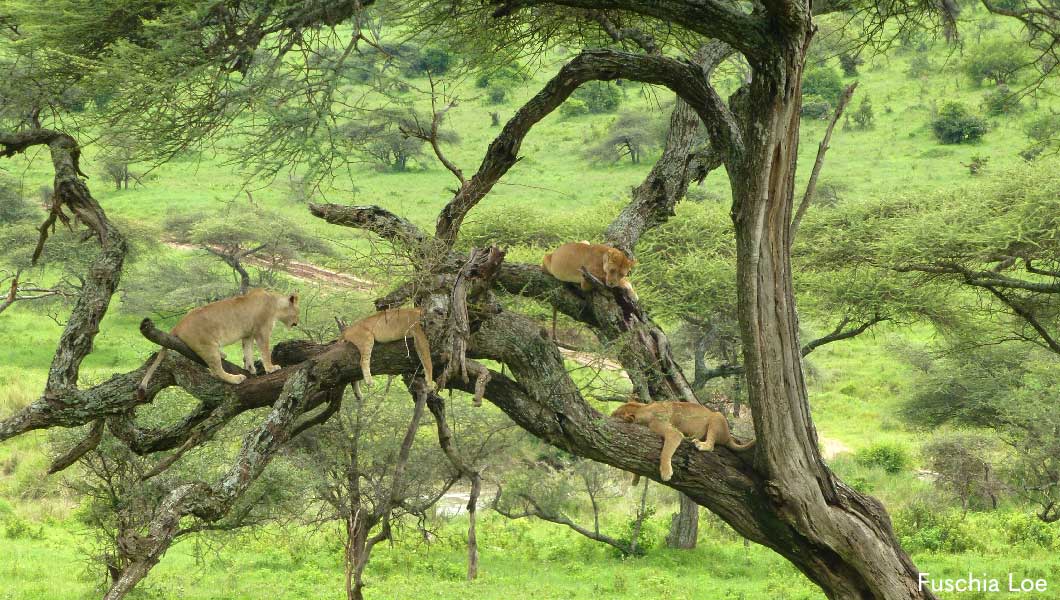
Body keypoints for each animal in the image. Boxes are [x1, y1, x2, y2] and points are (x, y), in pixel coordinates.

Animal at [137, 288, 298, 392]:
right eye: (298, 311)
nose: (297, 323)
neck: (275, 303)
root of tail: (178, 324)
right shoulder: (262, 331)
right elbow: (264, 351)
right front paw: (271, 368)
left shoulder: (247, 335)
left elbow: (248, 351)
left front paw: (251, 368)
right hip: (208, 346)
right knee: (216, 371)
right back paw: (236, 378)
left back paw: (225, 356)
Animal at [614, 404, 754, 485]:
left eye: (614, 414)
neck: (642, 409)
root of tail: (729, 437)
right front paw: (635, 478)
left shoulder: (670, 431)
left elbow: (665, 453)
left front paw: (666, 473)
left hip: (716, 416)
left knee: (711, 445)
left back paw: (700, 444)